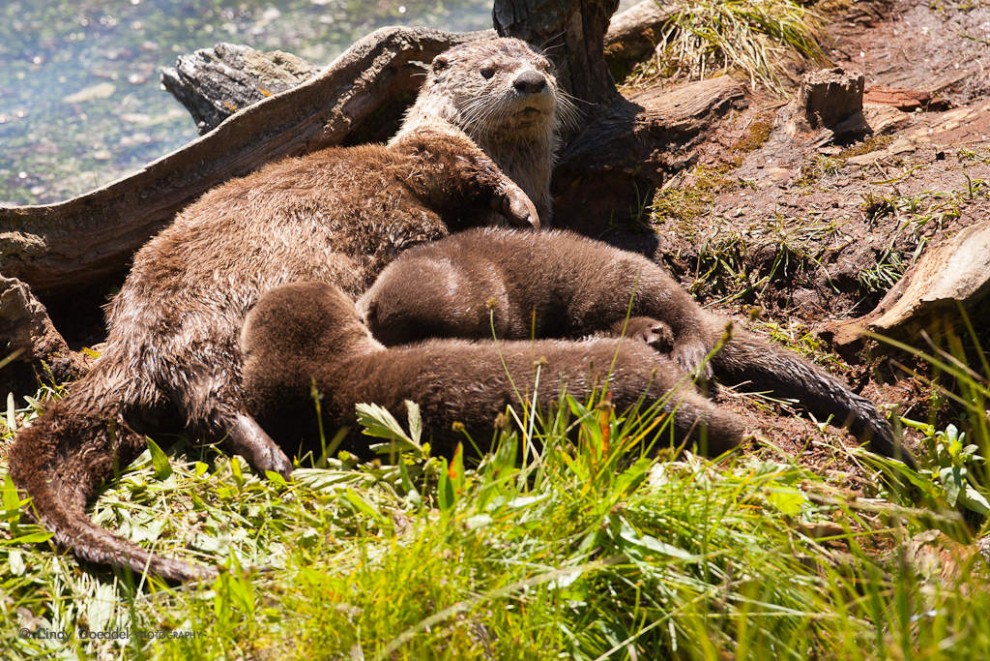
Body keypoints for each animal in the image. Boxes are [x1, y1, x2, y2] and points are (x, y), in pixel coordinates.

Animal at [7, 37, 568, 584]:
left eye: (543, 63)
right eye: (489, 71)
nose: (530, 81)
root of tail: (133, 332)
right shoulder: (432, 150)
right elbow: (470, 171)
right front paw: (519, 207)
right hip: (217, 322)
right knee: (211, 399)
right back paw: (274, 455)